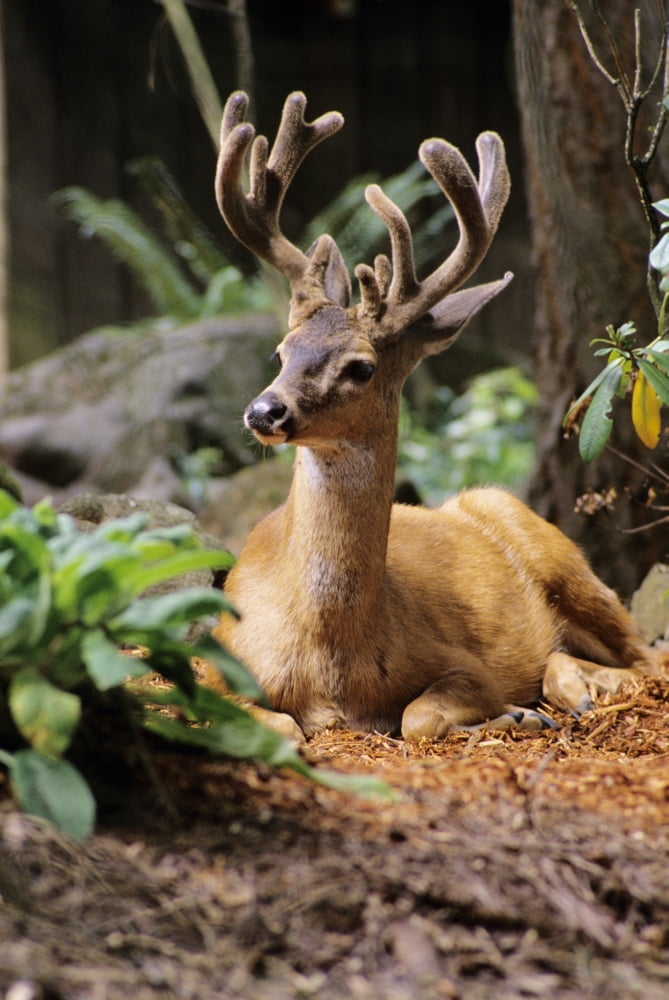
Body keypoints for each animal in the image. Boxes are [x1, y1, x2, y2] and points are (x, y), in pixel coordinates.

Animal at [208, 90, 664, 742]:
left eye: (362, 367)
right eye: (281, 351)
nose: (264, 411)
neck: (329, 658)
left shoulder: (461, 662)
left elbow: (417, 716)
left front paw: (511, 712)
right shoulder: (216, 653)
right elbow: (280, 725)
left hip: (560, 554)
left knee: (644, 659)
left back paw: (563, 697)